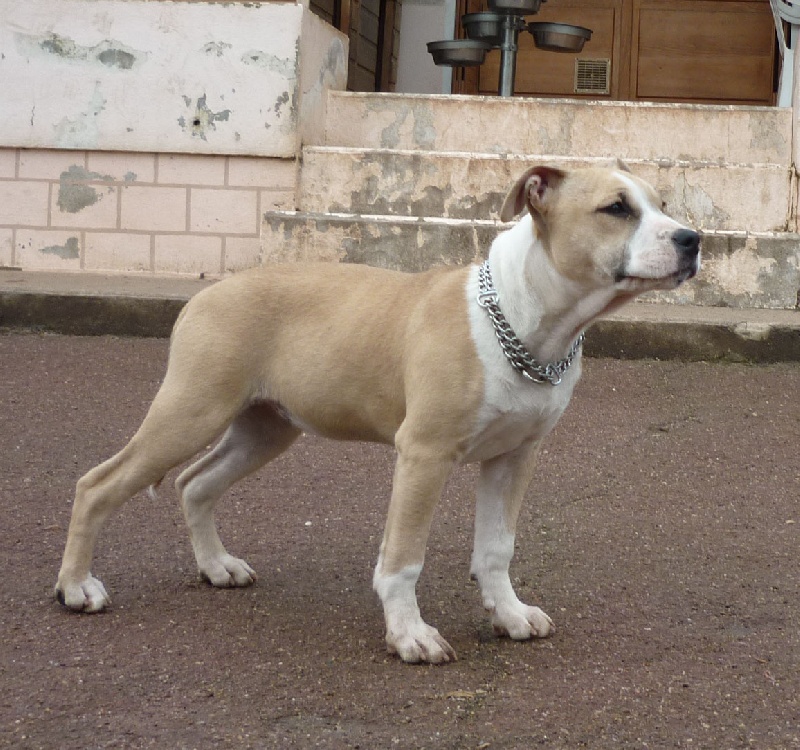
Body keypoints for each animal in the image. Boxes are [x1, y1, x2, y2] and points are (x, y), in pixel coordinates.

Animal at [54, 164, 700, 664]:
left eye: (663, 206)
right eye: (616, 208)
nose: (693, 239)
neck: (527, 321)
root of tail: (209, 291)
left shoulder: (515, 456)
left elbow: (497, 547)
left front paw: (510, 614)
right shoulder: (424, 455)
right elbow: (404, 558)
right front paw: (410, 635)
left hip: (264, 428)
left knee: (195, 483)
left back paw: (217, 568)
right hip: (191, 410)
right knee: (97, 484)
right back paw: (77, 588)